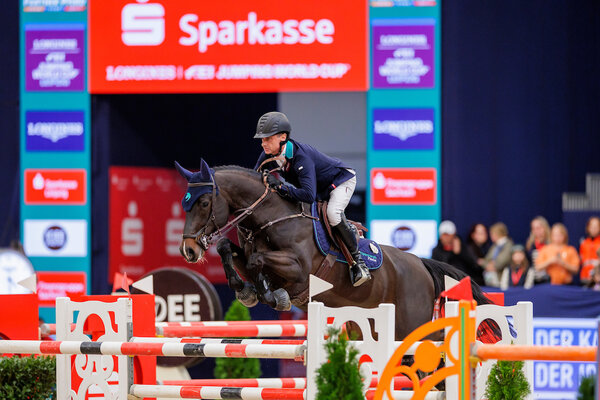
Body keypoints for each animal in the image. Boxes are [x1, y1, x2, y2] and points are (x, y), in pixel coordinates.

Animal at [176, 159, 493, 340]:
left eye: (204, 203)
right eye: (184, 203)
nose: (188, 251)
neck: (271, 218)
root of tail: (421, 263)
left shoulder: (299, 270)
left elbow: (256, 261)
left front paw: (271, 295)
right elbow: (230, 249)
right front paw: (246, 290)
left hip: (411, 328)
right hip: (367, 327)